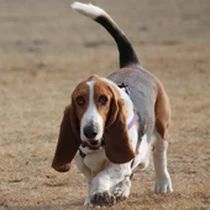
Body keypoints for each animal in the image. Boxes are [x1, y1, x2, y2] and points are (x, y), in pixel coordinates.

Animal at [51, 1, 173, 208]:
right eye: (80, 100)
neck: (97, 145)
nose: (90, 131)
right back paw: (121, 190)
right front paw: (93, 197)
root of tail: (132, 64)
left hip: (160, 128)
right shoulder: (84, 165)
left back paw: (162, 183)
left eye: (103, 100)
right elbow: (92, 178)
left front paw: (101, 194)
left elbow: (103, 176)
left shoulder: (121, 162)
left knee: (159, 155)